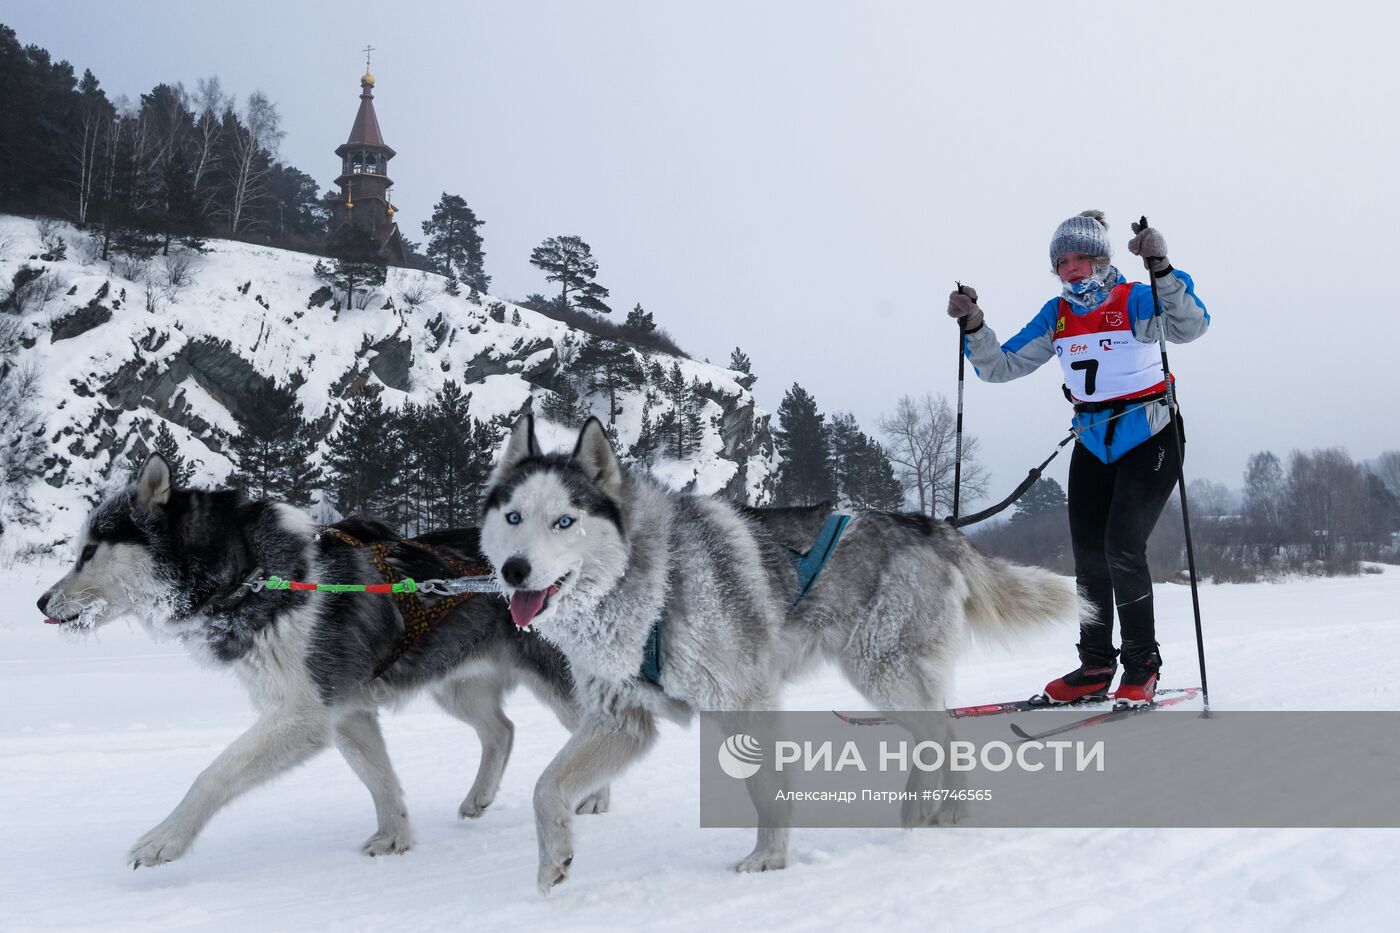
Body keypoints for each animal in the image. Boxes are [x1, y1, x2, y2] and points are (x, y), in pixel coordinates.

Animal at [38, 453, 604, 868]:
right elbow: (381, 780)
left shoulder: (303, 715)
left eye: (88, 551)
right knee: (501, 730)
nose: (41, 602)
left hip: (559, 683)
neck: (250, 573)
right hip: (455, 684)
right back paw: (479, 797)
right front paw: (395, 837)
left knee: (595, 725)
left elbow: (213, 775)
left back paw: (596, 795)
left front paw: (165, 838)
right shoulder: (346, 713)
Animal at [476, 417, 1075, 890]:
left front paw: (770, 858)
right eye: (513, 518)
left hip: (882, 674)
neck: (651, 581)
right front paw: (553, 860)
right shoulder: (621, 719)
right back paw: (947, 808)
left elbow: (766, 790)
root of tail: (928, 523)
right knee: (948, 729)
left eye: (565, 521)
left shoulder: (745, 702)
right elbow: (545, 788)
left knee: (942, 733)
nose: (514, 570)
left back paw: (931, 806)